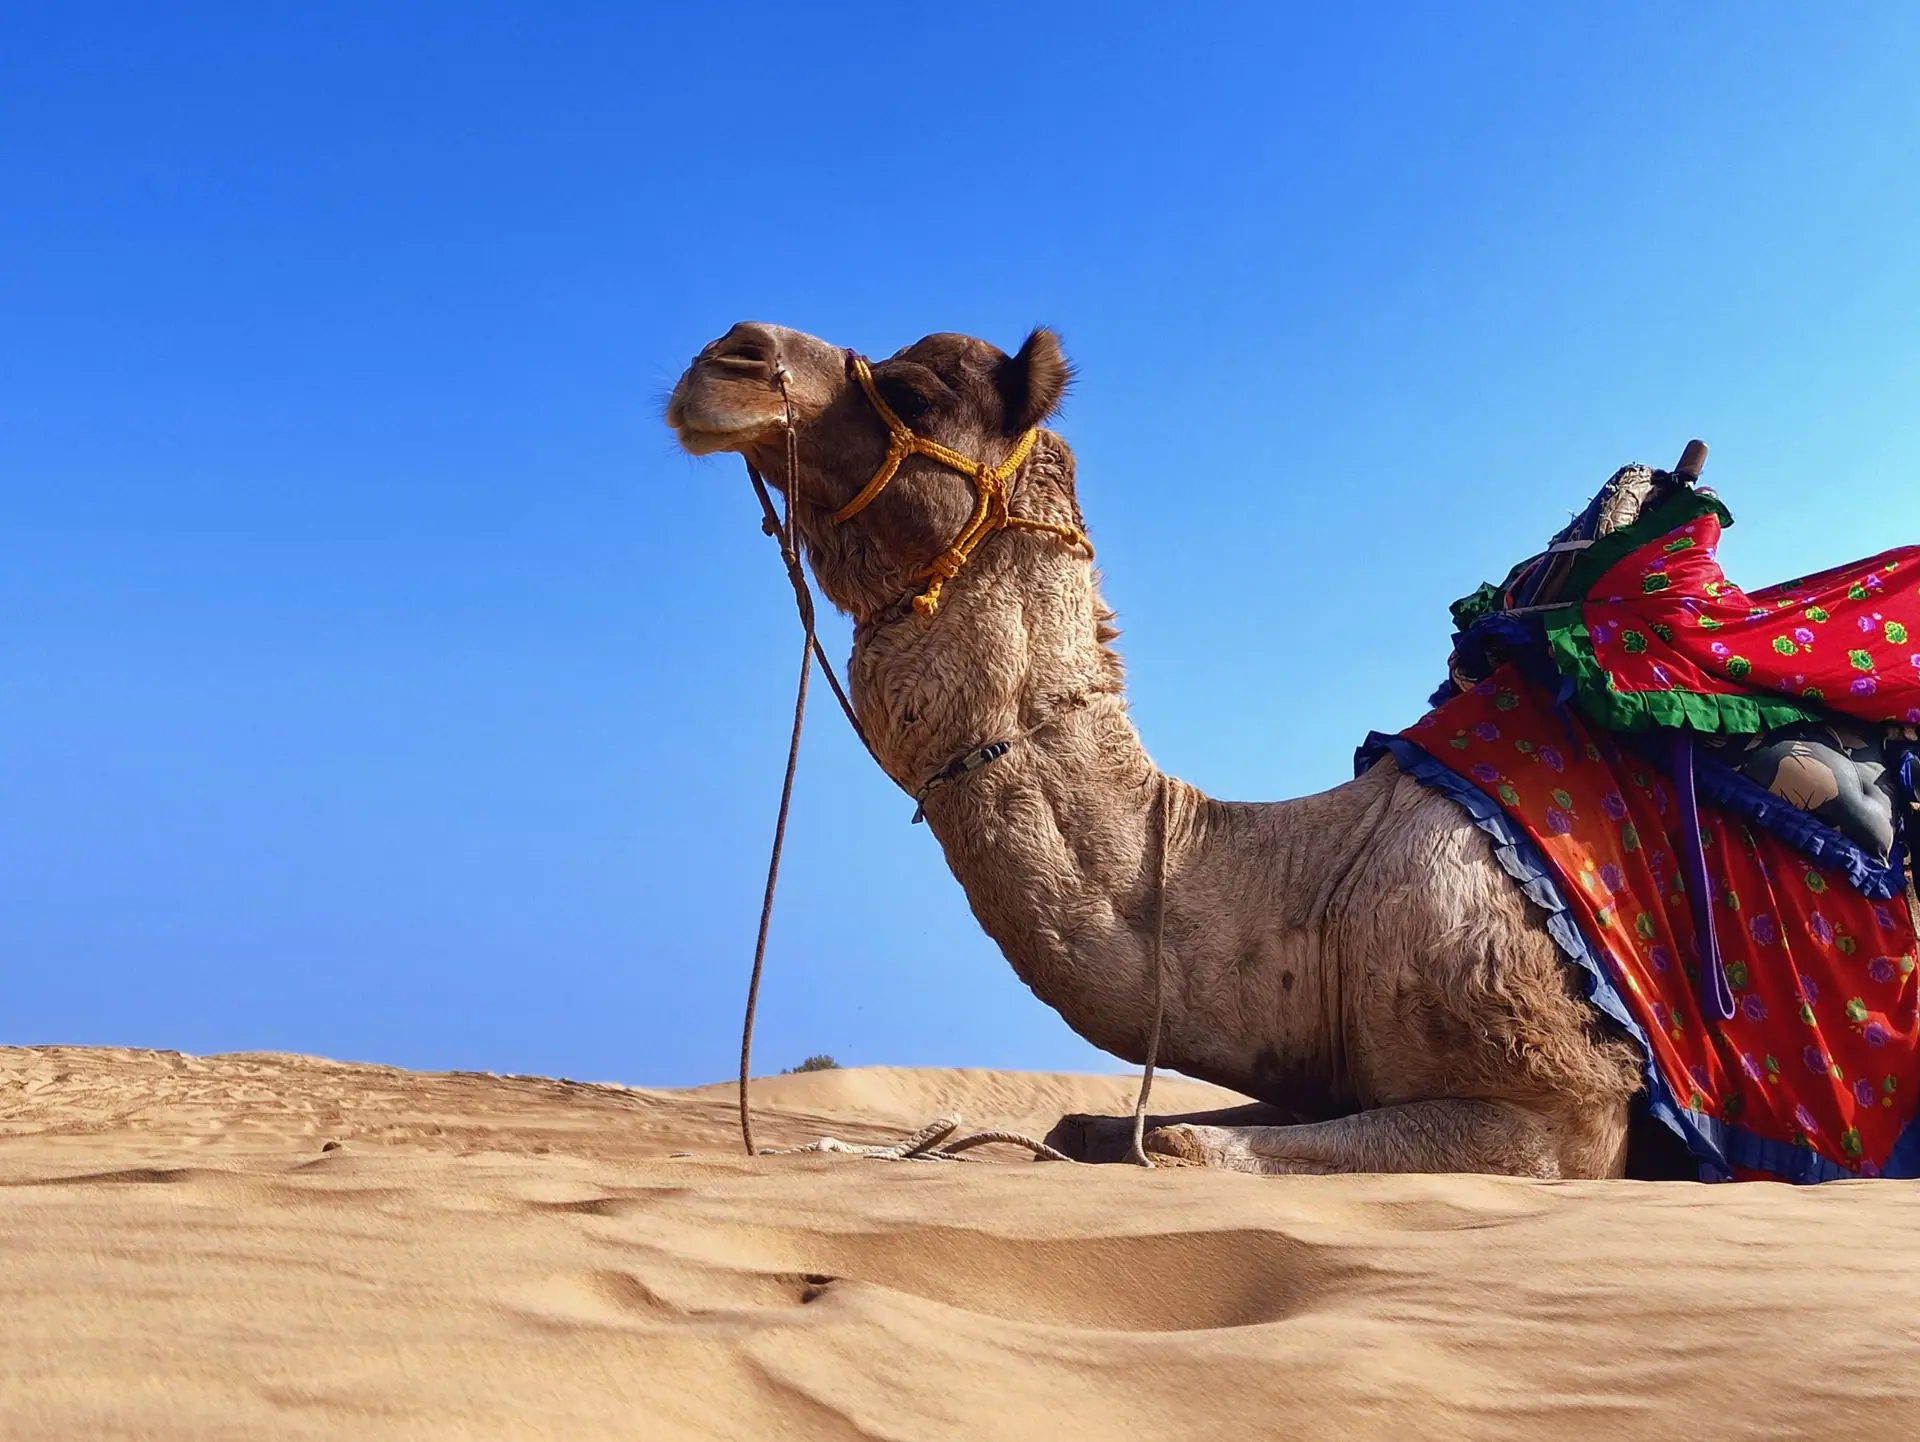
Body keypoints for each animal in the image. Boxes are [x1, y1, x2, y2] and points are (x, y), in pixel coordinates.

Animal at [668, 321, 1687, 1179]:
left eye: (912, 393)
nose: (730, 353)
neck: (1320, 889)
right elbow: (1090, 1128)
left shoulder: (1564, 1116)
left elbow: (1181, 1146)